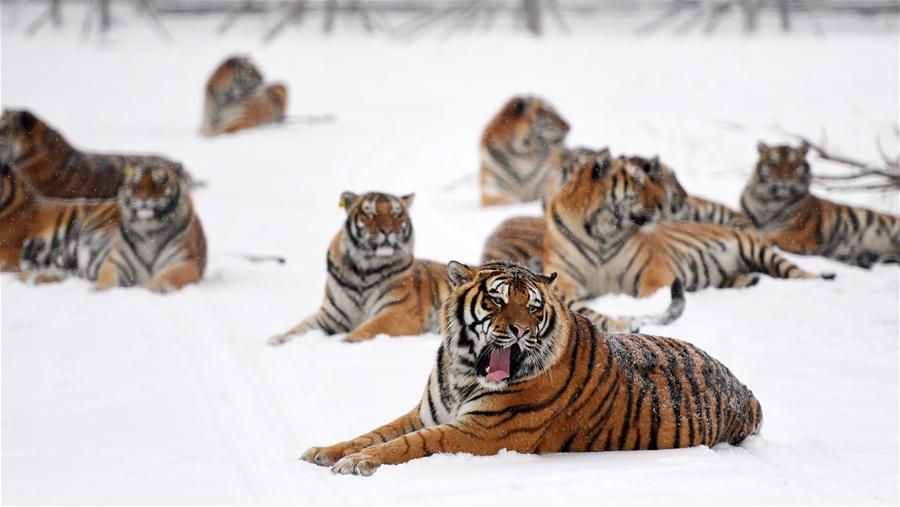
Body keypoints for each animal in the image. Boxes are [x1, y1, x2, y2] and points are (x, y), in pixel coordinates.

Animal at [11, 165, 206, 292]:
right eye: (136, 183)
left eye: (159, 182)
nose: (144, 197)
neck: (149, 228)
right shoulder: (116, 262)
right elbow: (106, 280)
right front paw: (99, 289)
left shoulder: (186, 262)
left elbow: (170, 276)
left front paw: (156, 287)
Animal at [300, 262, 760, 476]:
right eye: (497, 300)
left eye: (534, 307)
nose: (521, 330)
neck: (462, 371)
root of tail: (746, 390)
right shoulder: (427, 412)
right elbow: (376, 431)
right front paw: (325, 451)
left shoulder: (481, 432)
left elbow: (410, 445)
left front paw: (357, 463)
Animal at [536, 153, 832, 300]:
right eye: (638, 181)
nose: (664, 203)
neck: (600, 232)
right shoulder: (566, 276)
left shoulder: (656, 273)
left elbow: (648, 295)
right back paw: (749, 280)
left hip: (757, 250)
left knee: (798, 272)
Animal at [740, 142, 900, 268]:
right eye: (773, 163)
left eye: (793, 164)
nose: (783, 179)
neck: (769, 202)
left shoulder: (798, 235)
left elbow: (769, 238)